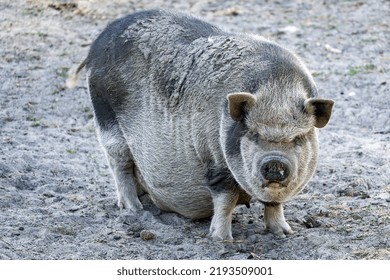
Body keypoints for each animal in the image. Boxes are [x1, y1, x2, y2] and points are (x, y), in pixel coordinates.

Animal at [66, 9, 332, 241]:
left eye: (298, 138)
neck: (279, 90)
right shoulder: (215, 160)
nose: (275, 162)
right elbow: (225, 199)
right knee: (118, 163)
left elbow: (275, 204)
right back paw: (135, 210)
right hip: (106, 116)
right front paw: (221, 239)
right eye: (254, 134)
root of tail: (99, 40)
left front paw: (285, 233)